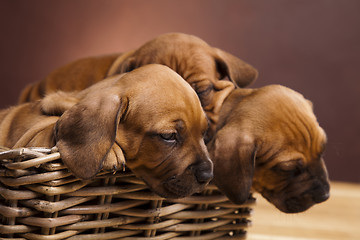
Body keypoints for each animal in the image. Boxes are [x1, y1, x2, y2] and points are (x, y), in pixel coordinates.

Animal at [0, 63, 214, 199]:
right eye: (168, 136)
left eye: (204, 133)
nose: (208, 176)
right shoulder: (30, 139)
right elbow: (50, 127)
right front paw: (109, 151)